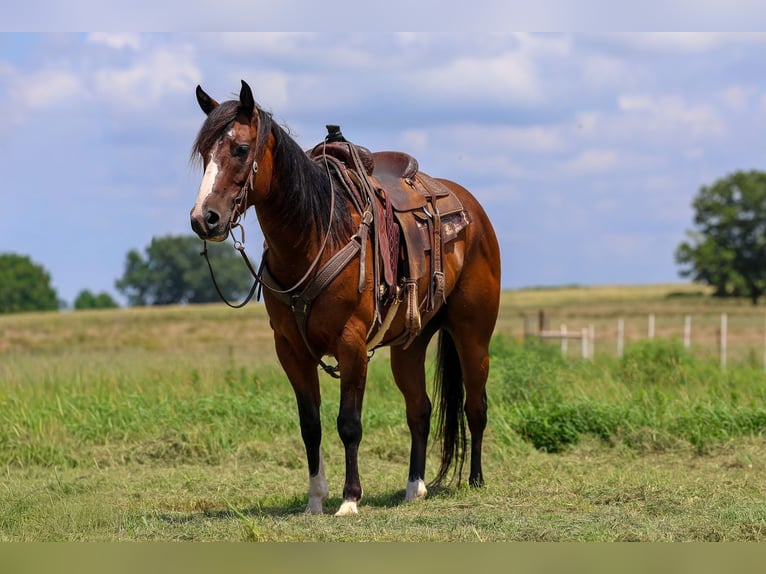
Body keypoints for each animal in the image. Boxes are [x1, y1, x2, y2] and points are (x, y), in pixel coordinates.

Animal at [189, 80, 501, 516]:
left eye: (240, 148)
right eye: (204, 153)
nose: (205, 219)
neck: (318, 234)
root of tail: (471, 209)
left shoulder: (351, 345)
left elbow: (348, 424)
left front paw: (350, 498)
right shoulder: (291, 350)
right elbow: (311, 425)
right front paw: (315, 499)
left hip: (473, 335)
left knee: (476, 406)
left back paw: (474, 480)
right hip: (410, 343)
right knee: (419, 409)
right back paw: (414, 486)